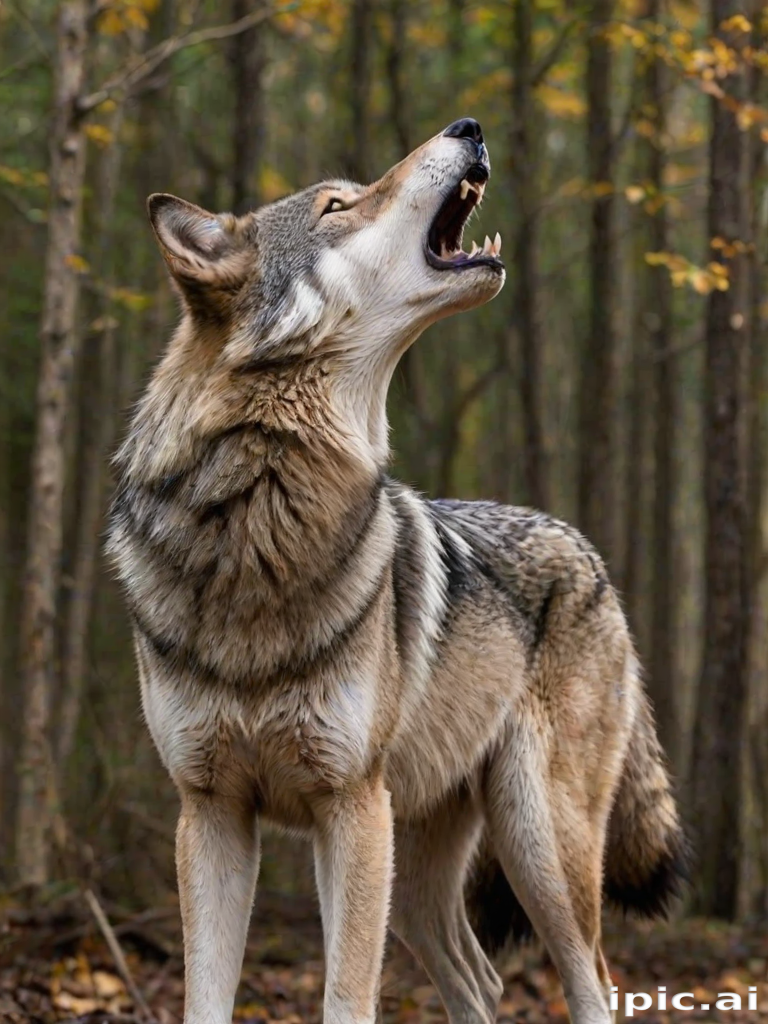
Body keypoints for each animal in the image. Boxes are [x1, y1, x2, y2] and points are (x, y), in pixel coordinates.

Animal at [108, 119, 686, 1024]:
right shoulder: (210, 813)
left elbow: (347, 999)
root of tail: (585, 548)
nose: (469, 126)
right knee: (482, 980)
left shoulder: (349, 809)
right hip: (417, 880)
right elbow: (206, 997)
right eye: (337, 205)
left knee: (593, 981)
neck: (257, 526)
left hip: (536, 848)